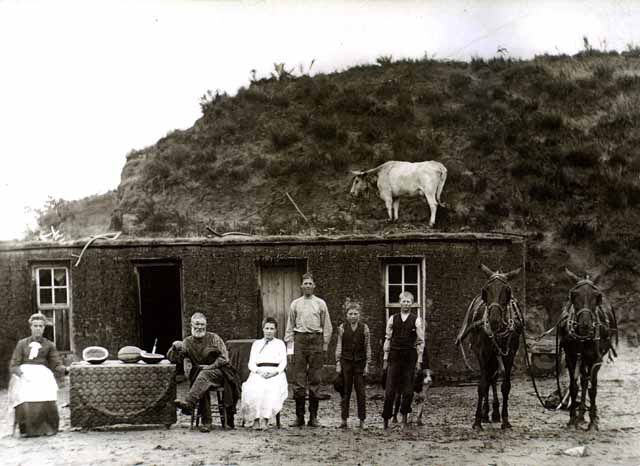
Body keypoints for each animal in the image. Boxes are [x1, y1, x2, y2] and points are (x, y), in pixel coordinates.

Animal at [458, 264, 524, 432]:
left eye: (507, 290)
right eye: (486, 290)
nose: (494, 320)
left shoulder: (510, 354)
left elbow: (505, 386)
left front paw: (505, 420)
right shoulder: (483, 353)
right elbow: (482, 385)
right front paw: (477, 421)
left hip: (496, 355)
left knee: (493, 377)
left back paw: (494, 412)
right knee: (488, 378)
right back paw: (485, 413)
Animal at [556, 270, 616, 430]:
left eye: (597, 296)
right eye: (574, 295)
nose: (585, 325)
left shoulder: (596, 360)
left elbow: (593, 389)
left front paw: (593, 421)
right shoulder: (571, 357)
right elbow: (573, 386)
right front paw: (572, 419)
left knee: (588, 382)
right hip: (581, 359)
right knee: (583, 381)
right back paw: (581, 416)